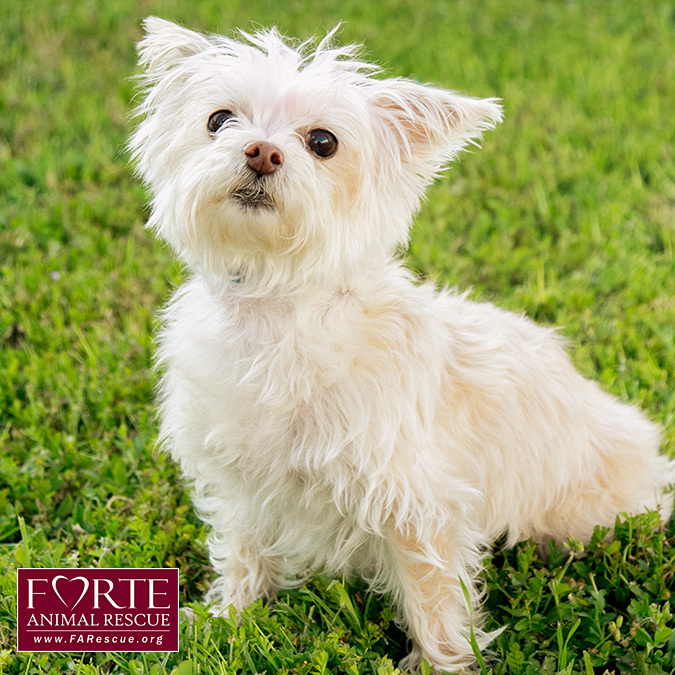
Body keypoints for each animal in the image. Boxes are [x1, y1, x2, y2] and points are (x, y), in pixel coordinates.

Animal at [129, 18, 672, 672]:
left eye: (323, 142)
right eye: (218, 120)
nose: (261, 151)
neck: (275, 308)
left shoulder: (420, 506)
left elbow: (433, 601)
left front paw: (441, 664)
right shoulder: (241, 483)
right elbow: (244, 549)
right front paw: (229, 618)